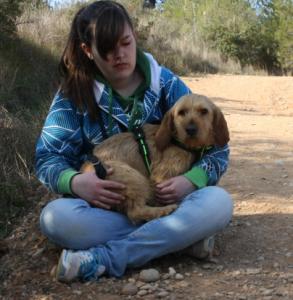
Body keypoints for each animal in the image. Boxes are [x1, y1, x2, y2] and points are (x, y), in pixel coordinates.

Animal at [81, 94, 228, 223]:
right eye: (181, 112)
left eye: (204, 111)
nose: (191, 129)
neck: (182, 143)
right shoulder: (161, 178)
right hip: (133, 177)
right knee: (135, 212)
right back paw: (164, 210)